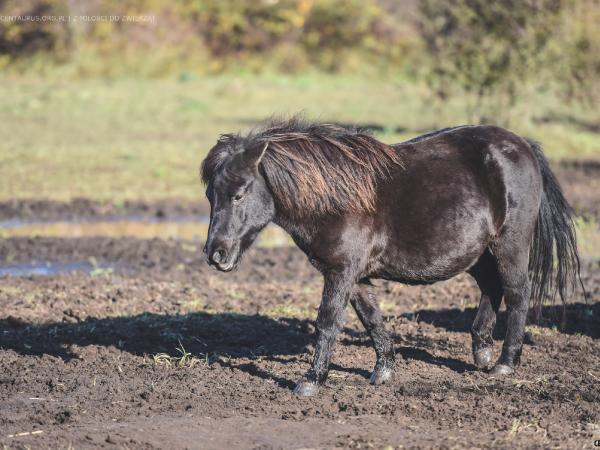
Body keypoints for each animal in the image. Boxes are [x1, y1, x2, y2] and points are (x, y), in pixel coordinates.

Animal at [200, 117, 580, 398]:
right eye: (210, 196)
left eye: (239, 193)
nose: (215, 254)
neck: (337, 198)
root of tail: (521, 144)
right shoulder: (353, 276)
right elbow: (371, 319)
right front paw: (383, 371)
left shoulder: (341, 272)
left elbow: (328, 322)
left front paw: (310, 381)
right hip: (479, 253)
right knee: (492, 288)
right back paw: (481, 352)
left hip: (509, 246)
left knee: (517, 294)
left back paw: (505, 362)